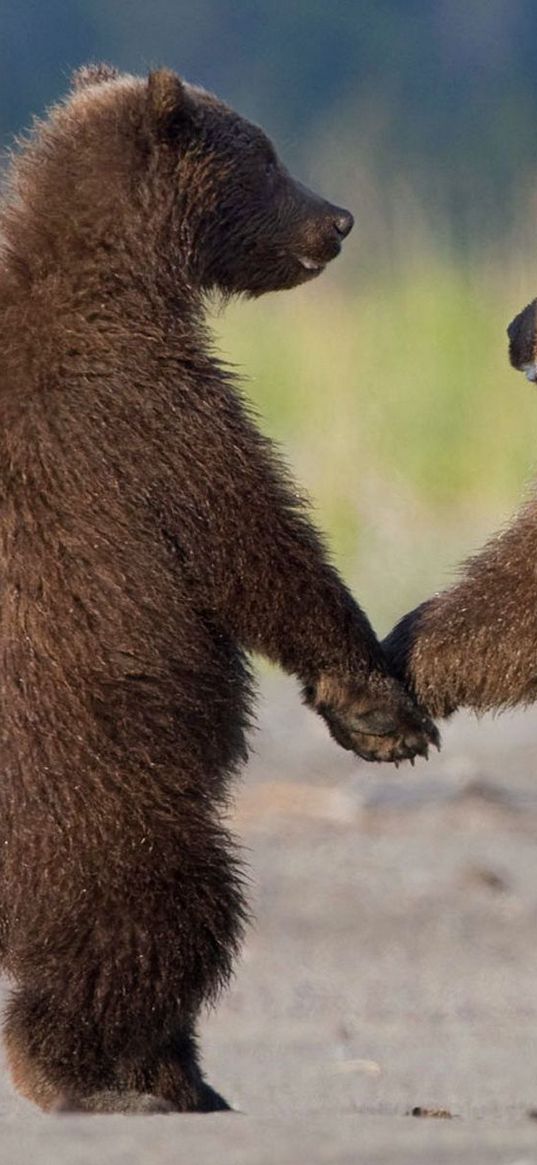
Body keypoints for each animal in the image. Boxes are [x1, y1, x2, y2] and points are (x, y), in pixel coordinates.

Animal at [0, 61, 435, 1109]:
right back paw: (111, 1071)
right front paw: (375, 703)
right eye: (268, 154)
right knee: (159, 911)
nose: (339, 217)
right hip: (99, 788)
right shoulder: (142, 413)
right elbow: (252, 543)